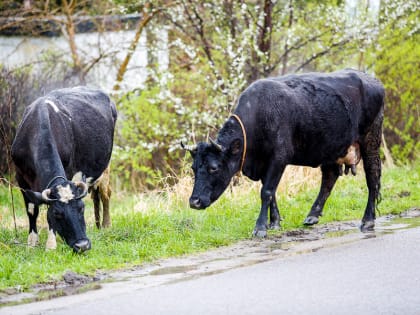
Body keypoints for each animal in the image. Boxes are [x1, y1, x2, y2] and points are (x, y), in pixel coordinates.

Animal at [11, 86, 116, 254]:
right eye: (57, 214)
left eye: (81, 208)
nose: (83, 245)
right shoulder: (20, 176)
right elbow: (32, 209)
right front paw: (32, 243)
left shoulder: (69, 171)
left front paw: (51, 245)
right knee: (96, 196)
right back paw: (98, 226)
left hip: (106, 166)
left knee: (105, 194)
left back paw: (106, 225)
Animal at [184, 69, 384, 237]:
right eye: (193, 168)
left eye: (214, 168)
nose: (194, 202)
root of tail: (371, 79)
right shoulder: (264, 163)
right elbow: (271, 192)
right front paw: (274, 222)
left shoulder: (279, 158)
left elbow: (266, 191)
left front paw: (260, 227)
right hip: (330, 148)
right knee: (330, 177)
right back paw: (313, 215)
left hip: (371, 141)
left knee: (372, 178)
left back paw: (367, 220)